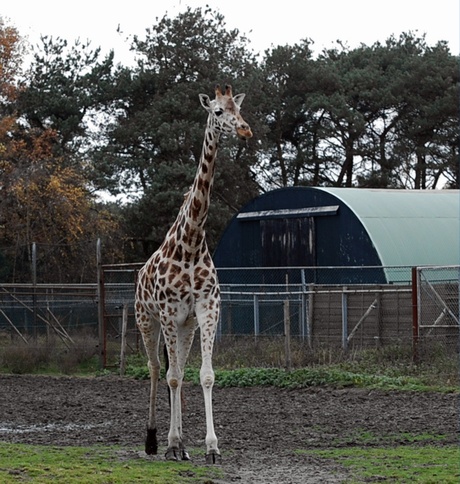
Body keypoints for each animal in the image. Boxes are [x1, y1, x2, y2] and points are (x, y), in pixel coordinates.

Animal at [135, 85, 253, 464]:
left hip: (185, 326)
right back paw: (156, 441)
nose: (244, 129)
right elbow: (170, 377)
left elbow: (205, 375)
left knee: (178, 369)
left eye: (238, 108)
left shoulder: (206, 309)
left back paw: (182, 444)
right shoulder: (169, 312)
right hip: (147, 319)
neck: (190, 241)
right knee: (156, 369)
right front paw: (171, 444)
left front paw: (211, 447)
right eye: (217, 111)